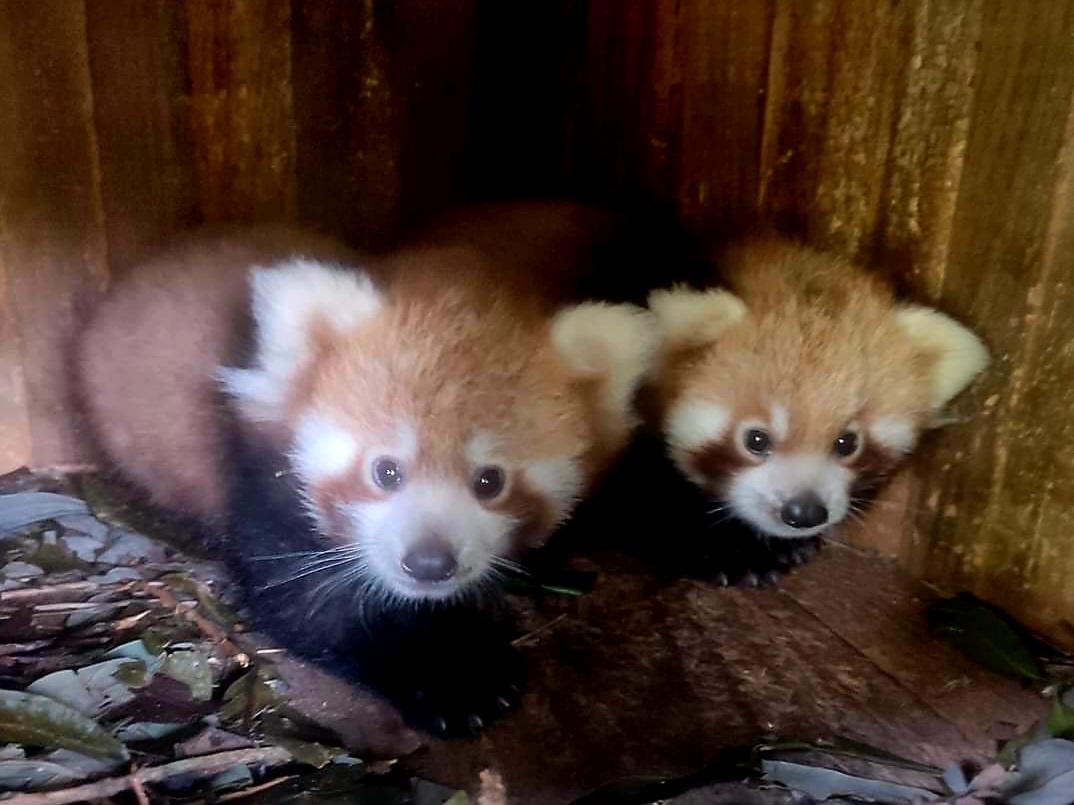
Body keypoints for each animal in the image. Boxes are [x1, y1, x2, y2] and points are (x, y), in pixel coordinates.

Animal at [75, 206, 652, 738]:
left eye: (490, 481)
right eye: (386, 471)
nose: (429, 562)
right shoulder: (262, 484)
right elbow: (315, 608)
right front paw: (454, 680)